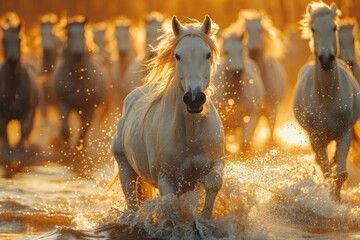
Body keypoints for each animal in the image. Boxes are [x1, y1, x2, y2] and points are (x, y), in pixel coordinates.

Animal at [0, 14, 39, 155]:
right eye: (4, 40)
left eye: (19, 39)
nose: (12, 60)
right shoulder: (2, 116)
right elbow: (4, 136)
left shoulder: (26, 112)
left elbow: (25, 130)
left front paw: (21, 148)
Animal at [51, 16, 109, 148]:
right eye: (69, 34)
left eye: (83, 33)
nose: (78, 55)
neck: (78, 79)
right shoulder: (64, 103)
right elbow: (65, 130)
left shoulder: (89, 108)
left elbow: (83, 131)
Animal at [112, 15, 225, 219]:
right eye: (178, 56)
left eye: (207, 54)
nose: (194, 98)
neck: (191, 134)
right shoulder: (166, 180)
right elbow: (171, 204)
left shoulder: (217, 162)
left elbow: (214, 181)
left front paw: (205, 218)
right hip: (125, 169)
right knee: (133, 204)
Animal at [292, 2, 360, 201]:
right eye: (313, 29)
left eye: (334, 27)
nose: (326, 59)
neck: (327, 98)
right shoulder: (315, 137)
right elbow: (327, 172)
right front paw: (330, 199)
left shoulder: (344, 133)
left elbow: (341, 174)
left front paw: (336, 199)